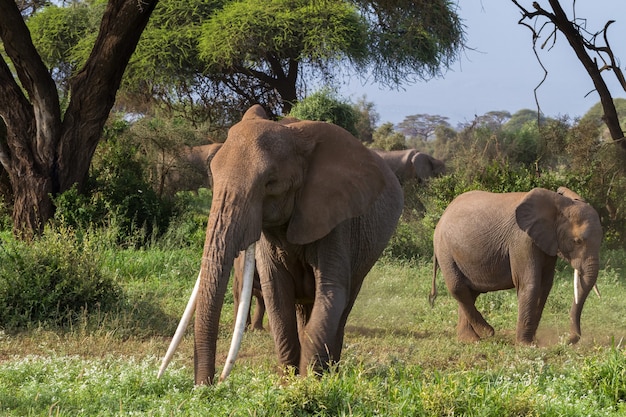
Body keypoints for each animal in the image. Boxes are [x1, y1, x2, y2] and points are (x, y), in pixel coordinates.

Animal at [161, 104, 402, 384]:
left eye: (270, 183)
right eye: (212, 175)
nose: (209, 385)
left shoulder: (338, 222)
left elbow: (331, 293)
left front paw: (310, 384)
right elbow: (277, 295)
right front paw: (290, 382)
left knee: (342, 306)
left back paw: (332, 372)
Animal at [428, 186, 600, 344]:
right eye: (577, 241)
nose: (567, 340)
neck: (559, 204)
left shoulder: (547, 241)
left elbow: (545, 286)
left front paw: (532, 342)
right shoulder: (522, 240)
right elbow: (530, 284)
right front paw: (525, 345)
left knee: (471, 292)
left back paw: (469, 339)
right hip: (444, 249)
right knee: (458, 287)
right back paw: (486, 333)